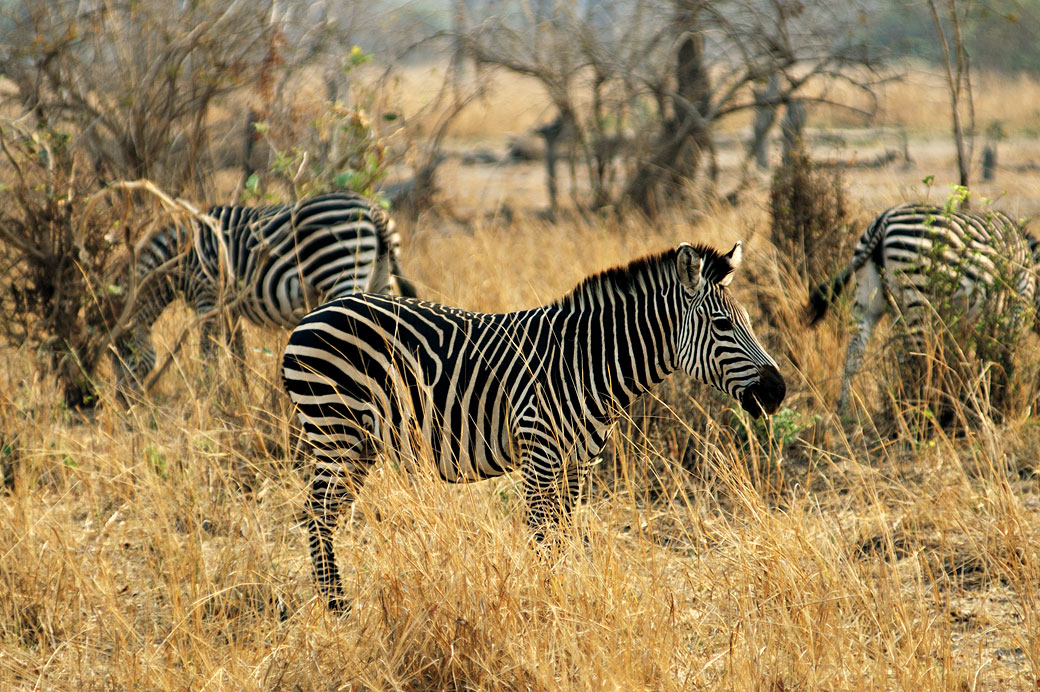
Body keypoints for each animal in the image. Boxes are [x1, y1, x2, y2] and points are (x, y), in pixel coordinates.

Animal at [113, 190, 413, 393]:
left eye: (123, 356)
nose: (123, 406)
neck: (181, 258)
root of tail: (373, 209)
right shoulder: (230, 306)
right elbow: (237, 353)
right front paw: (241, 392)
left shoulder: (207, 296)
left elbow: (208, 352)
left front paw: (208, 395)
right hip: (381, 276)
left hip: (339, 270)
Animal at [280, 240, 782, 607]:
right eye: (721, 324)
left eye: (747, 320)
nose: (777, 392)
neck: (587, 362)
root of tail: (314, 314)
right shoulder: (539, 452)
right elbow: (544, 537)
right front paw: (547, 608)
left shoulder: (580, 461)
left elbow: (564, 535)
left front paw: (562, 602)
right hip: (335, 428)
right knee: (317, 514)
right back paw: (336, 609)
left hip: (358, 443)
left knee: (326, 513)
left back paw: (336, 602)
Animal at [802, 202, 1040, 412]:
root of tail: (883, 221)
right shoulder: (1015, 307)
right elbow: (1002, 357)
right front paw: (1001, 401)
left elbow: (967, 356)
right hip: (917, 294)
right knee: (912, 358)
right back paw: (916, 410)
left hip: (869, 297)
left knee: (855, 350)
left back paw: (845, 411)